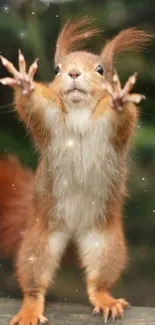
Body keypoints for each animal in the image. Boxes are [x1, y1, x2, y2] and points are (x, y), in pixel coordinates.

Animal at [0, 17, 151, 322]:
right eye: (57, 69)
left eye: (100, 69)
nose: (72, 73)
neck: (80, 112)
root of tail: (74, 230)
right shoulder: (50, 121)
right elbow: (34, 107)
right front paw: (25, 84)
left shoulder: (111, 131)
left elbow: (122, 117)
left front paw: (119, 99)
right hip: (40, 240)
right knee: (34, 282)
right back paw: (30, 309)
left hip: (106, 243)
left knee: (98, 281)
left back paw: (105, 299)